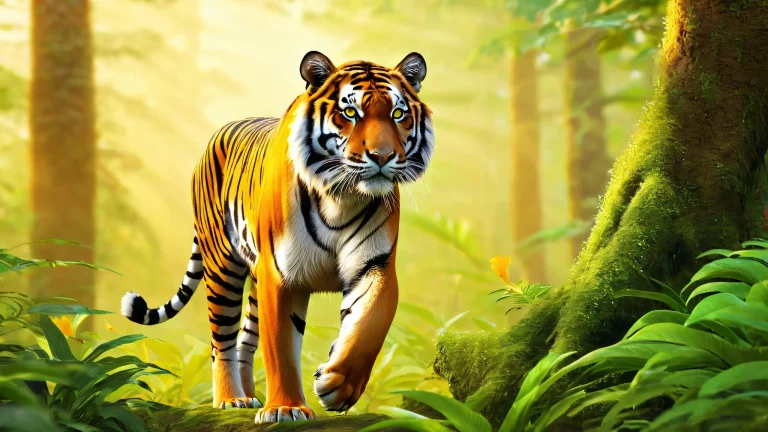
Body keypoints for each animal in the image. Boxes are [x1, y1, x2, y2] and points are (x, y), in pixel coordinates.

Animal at [119, 51, 434, 423]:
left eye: (398, 114)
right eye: (349, 113)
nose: (383, 157)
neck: (341, 197)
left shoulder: (375, 266)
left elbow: (369, 325)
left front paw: (338, 385)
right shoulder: (280, 275)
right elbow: (280, 346)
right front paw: (286, 407)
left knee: (244, 338)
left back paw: (250, 397)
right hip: (223, 266)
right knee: (220, 341)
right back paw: (231, 400)